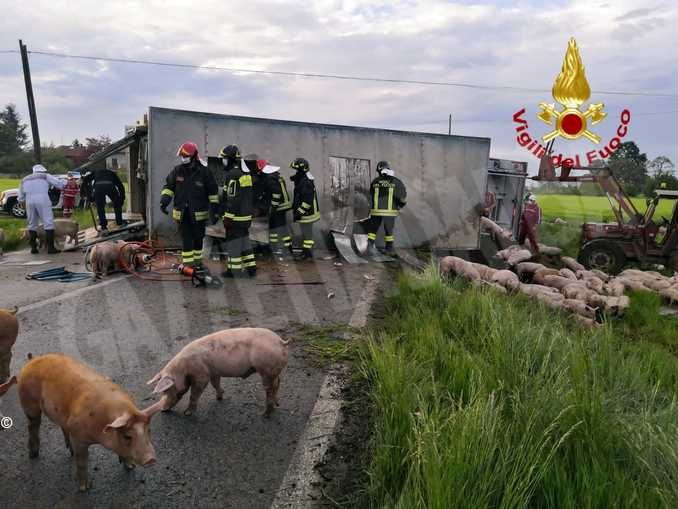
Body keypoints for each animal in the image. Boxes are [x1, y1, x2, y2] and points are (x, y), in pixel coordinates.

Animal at [18, 352, 163, 490]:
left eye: (148, 430)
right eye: (127, 436)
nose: (151, 459)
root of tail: (32, 360)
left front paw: (131, 467)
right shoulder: (78, 437)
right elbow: (82, 462)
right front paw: (85, 487)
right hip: (29, 403)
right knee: (33, 425)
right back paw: (33, 455)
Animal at [149, 326, 290, 416]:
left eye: (166, 390)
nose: (162, 410)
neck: (183, 369)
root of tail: (281, 342)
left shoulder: (201, 375)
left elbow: (194, 393)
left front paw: (187, 413)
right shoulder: (213, 372)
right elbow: (215, 383)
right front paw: (219, 398)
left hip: (266, 370)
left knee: (269, 389)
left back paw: (264, 414)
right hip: (272, 371)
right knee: (278, 383)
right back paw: (276, 404)